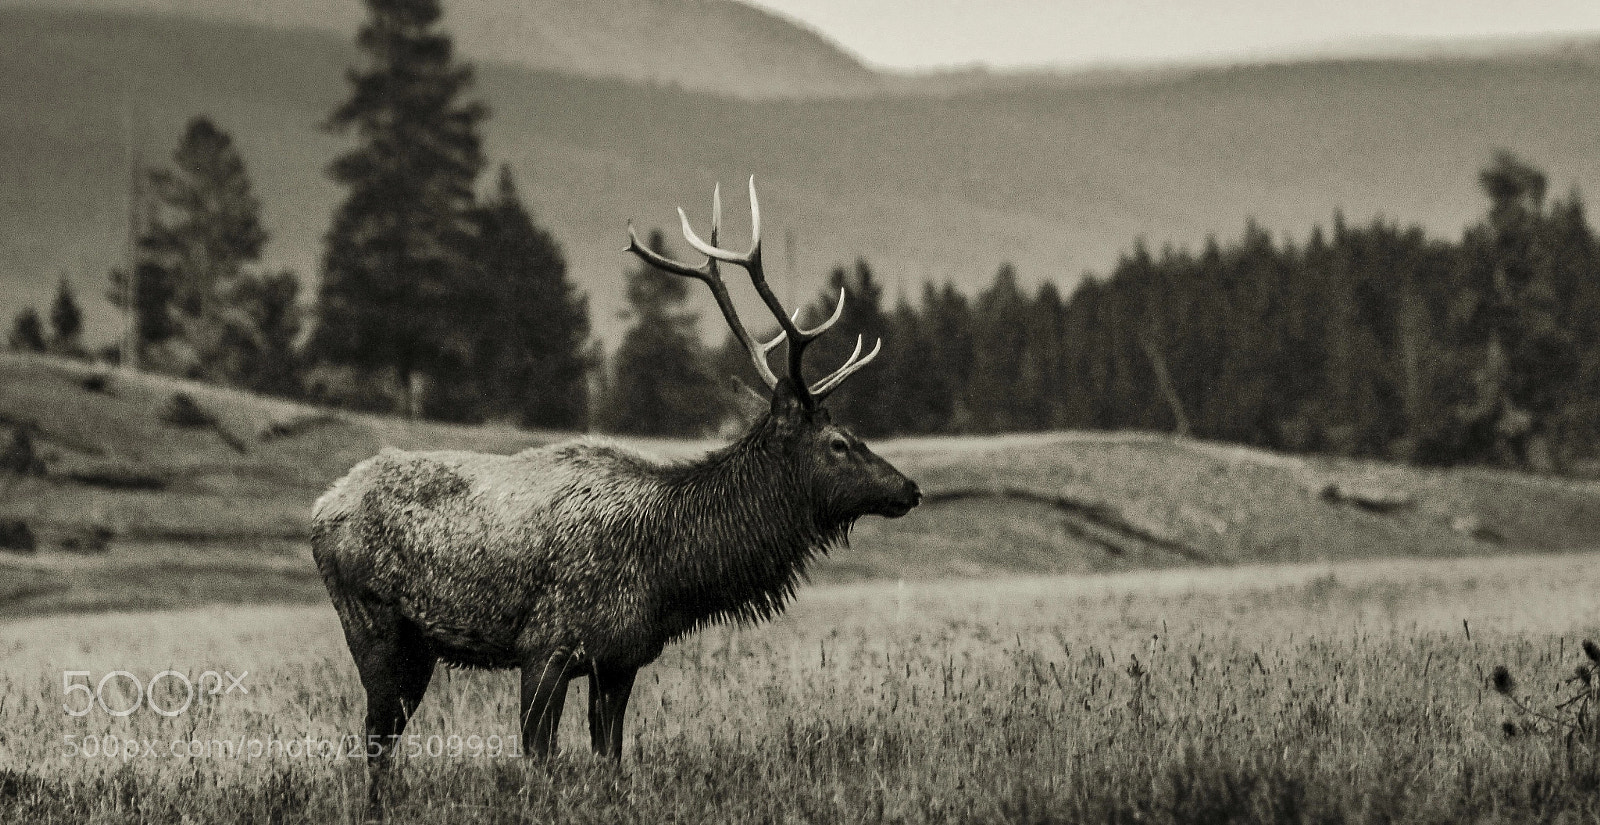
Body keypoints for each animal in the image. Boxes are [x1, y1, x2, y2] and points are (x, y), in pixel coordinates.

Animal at [311, 178, 920, 813]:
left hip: (419, 647)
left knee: (384, 736)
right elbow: (539, 758)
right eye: (838, 443)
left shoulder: (620, 659)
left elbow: (611, 759)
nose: (909, 488)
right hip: (372, 623)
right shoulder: (547, 643)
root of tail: (322, 506)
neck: (667, 576)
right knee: (375, 736)